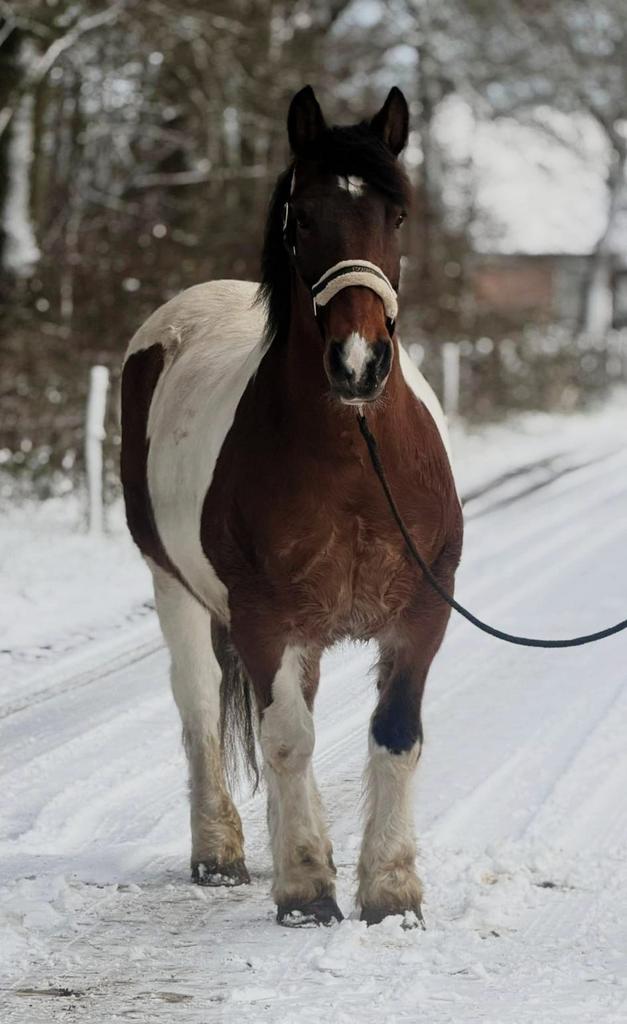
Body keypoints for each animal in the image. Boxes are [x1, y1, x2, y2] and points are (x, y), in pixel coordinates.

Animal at [120, 85, 463, 927]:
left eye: (396, 215)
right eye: (301, 217)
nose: (358, 361)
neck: (354, 458)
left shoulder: (421, 614)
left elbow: (394, 736)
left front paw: (389, 890)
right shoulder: (264, 617)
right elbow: (285, 741)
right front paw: (307, 888)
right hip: (175, 589)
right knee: (203, 713)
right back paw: (221, 852)